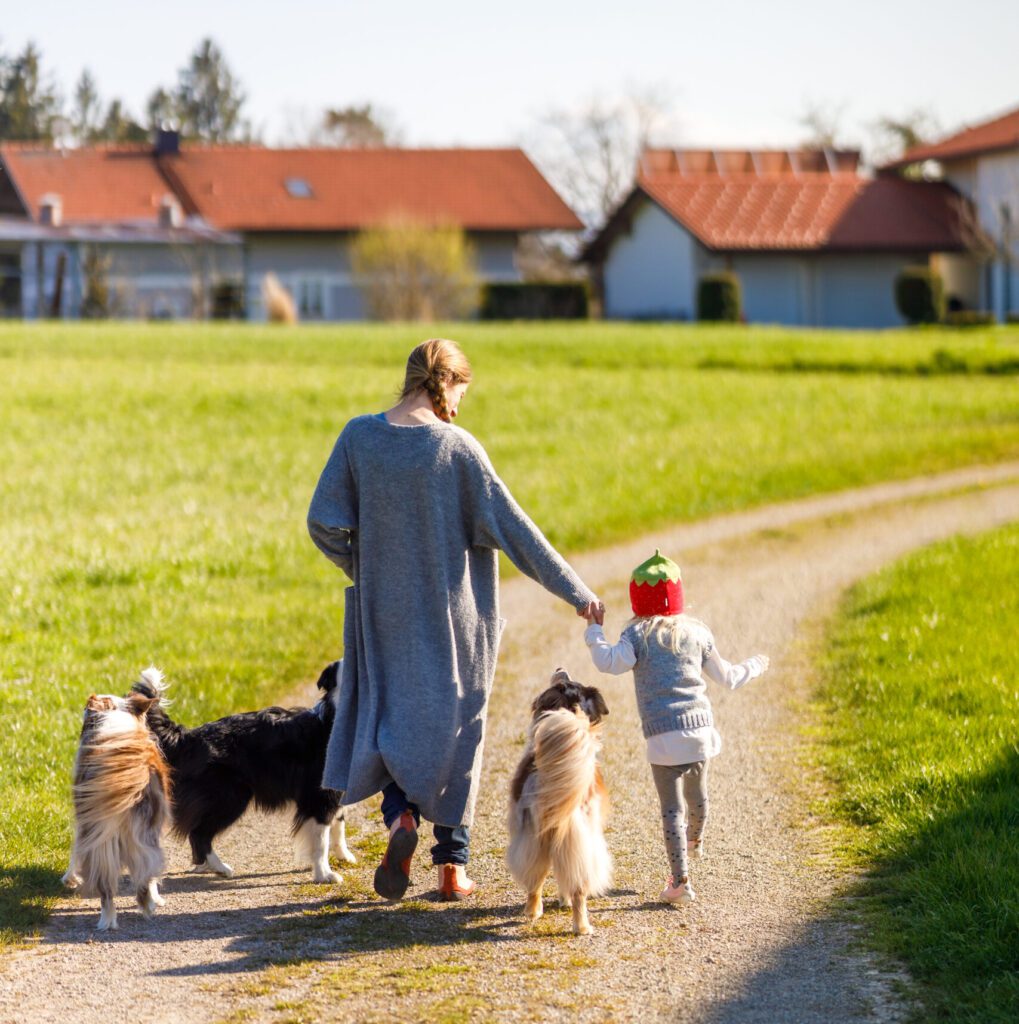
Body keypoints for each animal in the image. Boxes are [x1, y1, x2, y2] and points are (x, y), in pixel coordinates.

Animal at [61, 692, 171, 933]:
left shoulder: (83, 821)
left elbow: (74, 851)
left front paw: (69, 878)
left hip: (102, 832)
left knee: (108, 885)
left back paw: (108, 920)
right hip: (145, 832)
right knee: (147, 870)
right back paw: (147, 905)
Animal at [131, 659, 356, 884]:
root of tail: (189, 736)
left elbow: (339, 827)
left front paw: (345, 857)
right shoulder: (318, 797)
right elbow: (321, 840)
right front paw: (325, 874)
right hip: (230, 796)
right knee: (198, 833)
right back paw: (220, 868)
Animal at [505, 667, 610, 933]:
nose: (559, 668)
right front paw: (564, 902)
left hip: (538, 839)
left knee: (536, 880)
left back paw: (533, 912)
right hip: (577, 840)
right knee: (577, 887)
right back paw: (582, 927)